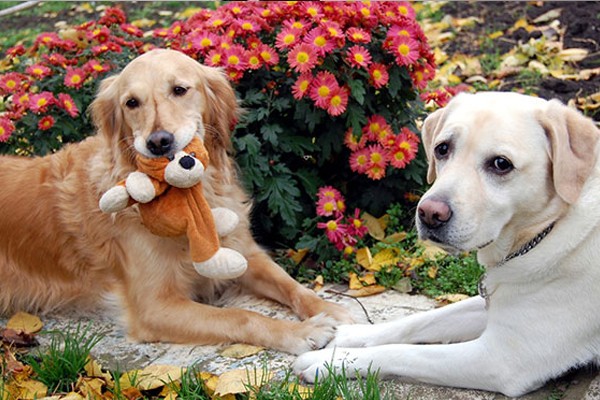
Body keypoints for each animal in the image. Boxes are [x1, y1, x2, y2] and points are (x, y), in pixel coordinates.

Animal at [0, 49, 352, 354]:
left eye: (180, 90)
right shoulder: (156, 307)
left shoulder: (243, 251)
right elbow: (240, 317)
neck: (192, 198)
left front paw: (331, 308)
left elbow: (289, 283)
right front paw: (301, 332)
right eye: (131, 103)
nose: (159, 142)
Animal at [292, 93, 600, 396]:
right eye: (442, 149)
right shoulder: (491, 305)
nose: (429, 214)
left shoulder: (501, 359)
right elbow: (424, 319)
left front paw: (331, 362)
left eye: (501, 164)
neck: (547, 229)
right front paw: (355, 336)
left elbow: (402, 352)